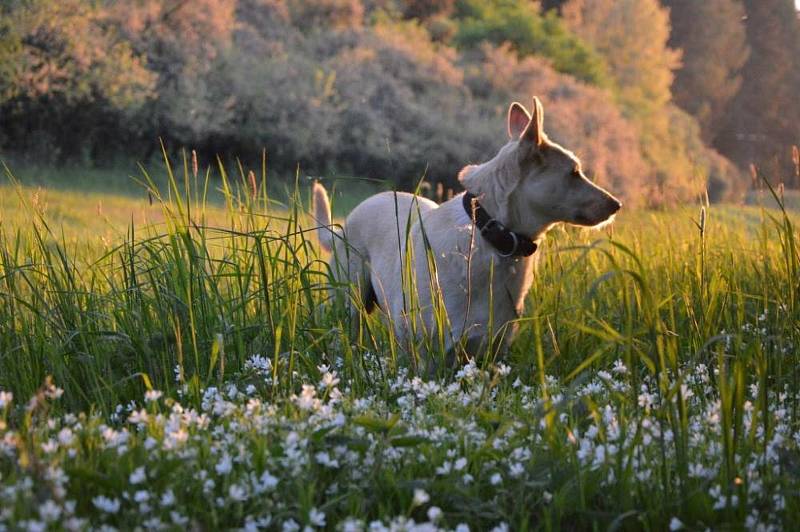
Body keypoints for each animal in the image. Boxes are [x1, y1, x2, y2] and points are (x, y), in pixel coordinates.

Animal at [310, 97, 620, 360]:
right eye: (574, 173)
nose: (617, 204)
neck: (493, 235)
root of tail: (344, 226)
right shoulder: (424, 351)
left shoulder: (491, 351)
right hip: (349, 302)